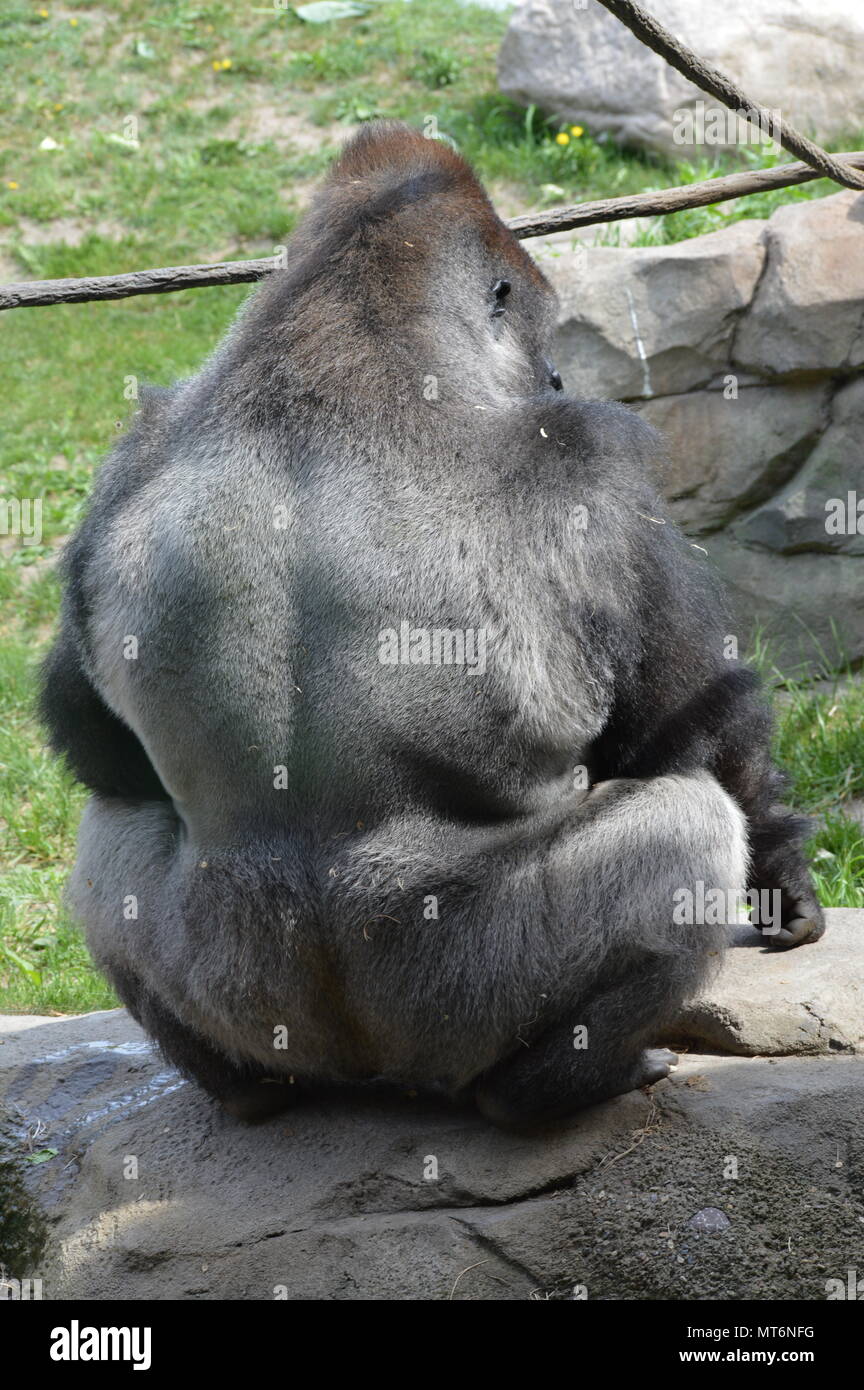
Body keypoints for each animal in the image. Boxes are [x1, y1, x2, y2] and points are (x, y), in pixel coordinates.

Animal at [38, 125, 827, 1134]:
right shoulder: (592, 462)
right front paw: (784, 871)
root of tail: (366, 1070)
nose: (557, 372)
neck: (337, 336)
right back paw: (556, 1086)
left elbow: (90, 735)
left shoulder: (131, 450)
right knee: (684, 826)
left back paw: (241, 1087)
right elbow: (701, 729)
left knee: (111, 819)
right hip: (450, 997)